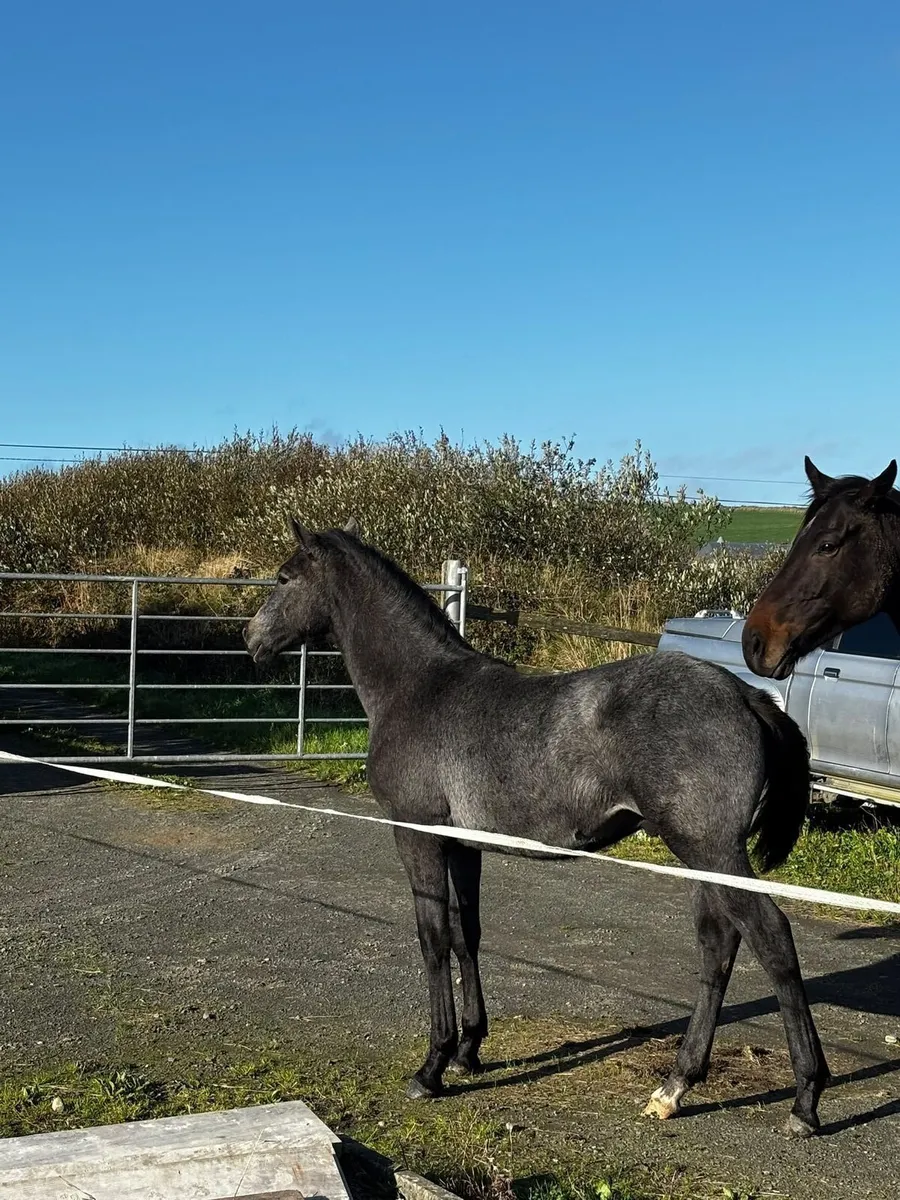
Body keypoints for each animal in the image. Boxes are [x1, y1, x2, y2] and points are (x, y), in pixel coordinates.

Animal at [244, 519, 828, 1137]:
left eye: (283, 578)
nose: (250, 638)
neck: (417, 686)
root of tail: (747, 694)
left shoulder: (418, 834)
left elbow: (433, 939)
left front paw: (432, 1067)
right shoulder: (464, 845)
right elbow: (466, 934)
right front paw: (469, 1050)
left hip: (711, 849)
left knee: (770, 937)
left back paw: (805, 1100)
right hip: (704, 855)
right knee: (718, 945)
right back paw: (675, 1085)